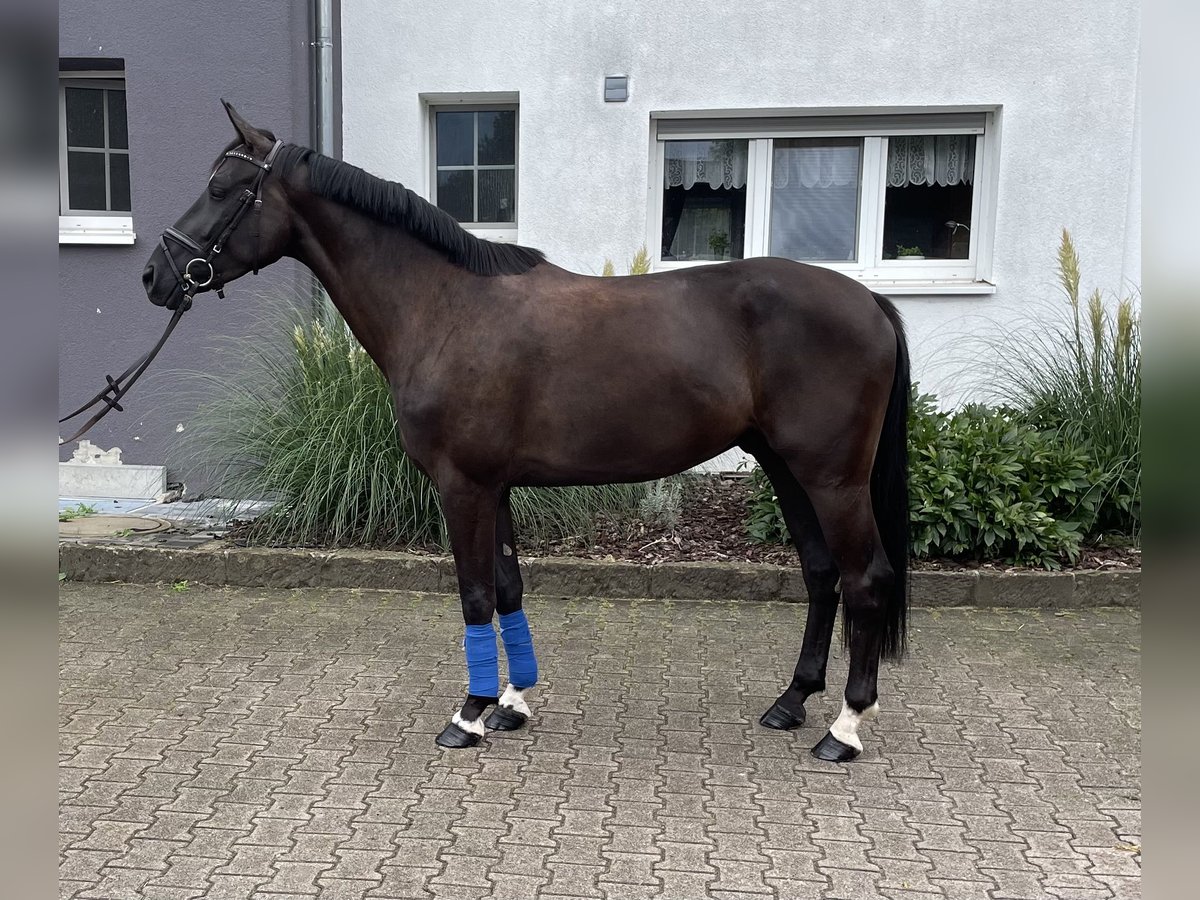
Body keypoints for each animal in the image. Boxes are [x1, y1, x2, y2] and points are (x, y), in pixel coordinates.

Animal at [142, 103, 907, 768]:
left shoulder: (462, 485)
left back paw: (844, 728)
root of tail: (869, 300)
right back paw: (791, 702)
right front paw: (511, 703)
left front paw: (469, 714)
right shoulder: (497, 485)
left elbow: (476, 593)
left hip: (832, 478)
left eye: (221, 188)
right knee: (821, 574)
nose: (157, 275)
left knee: (865, 579)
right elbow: (509, 586)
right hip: (785, 467)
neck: (443, 306)